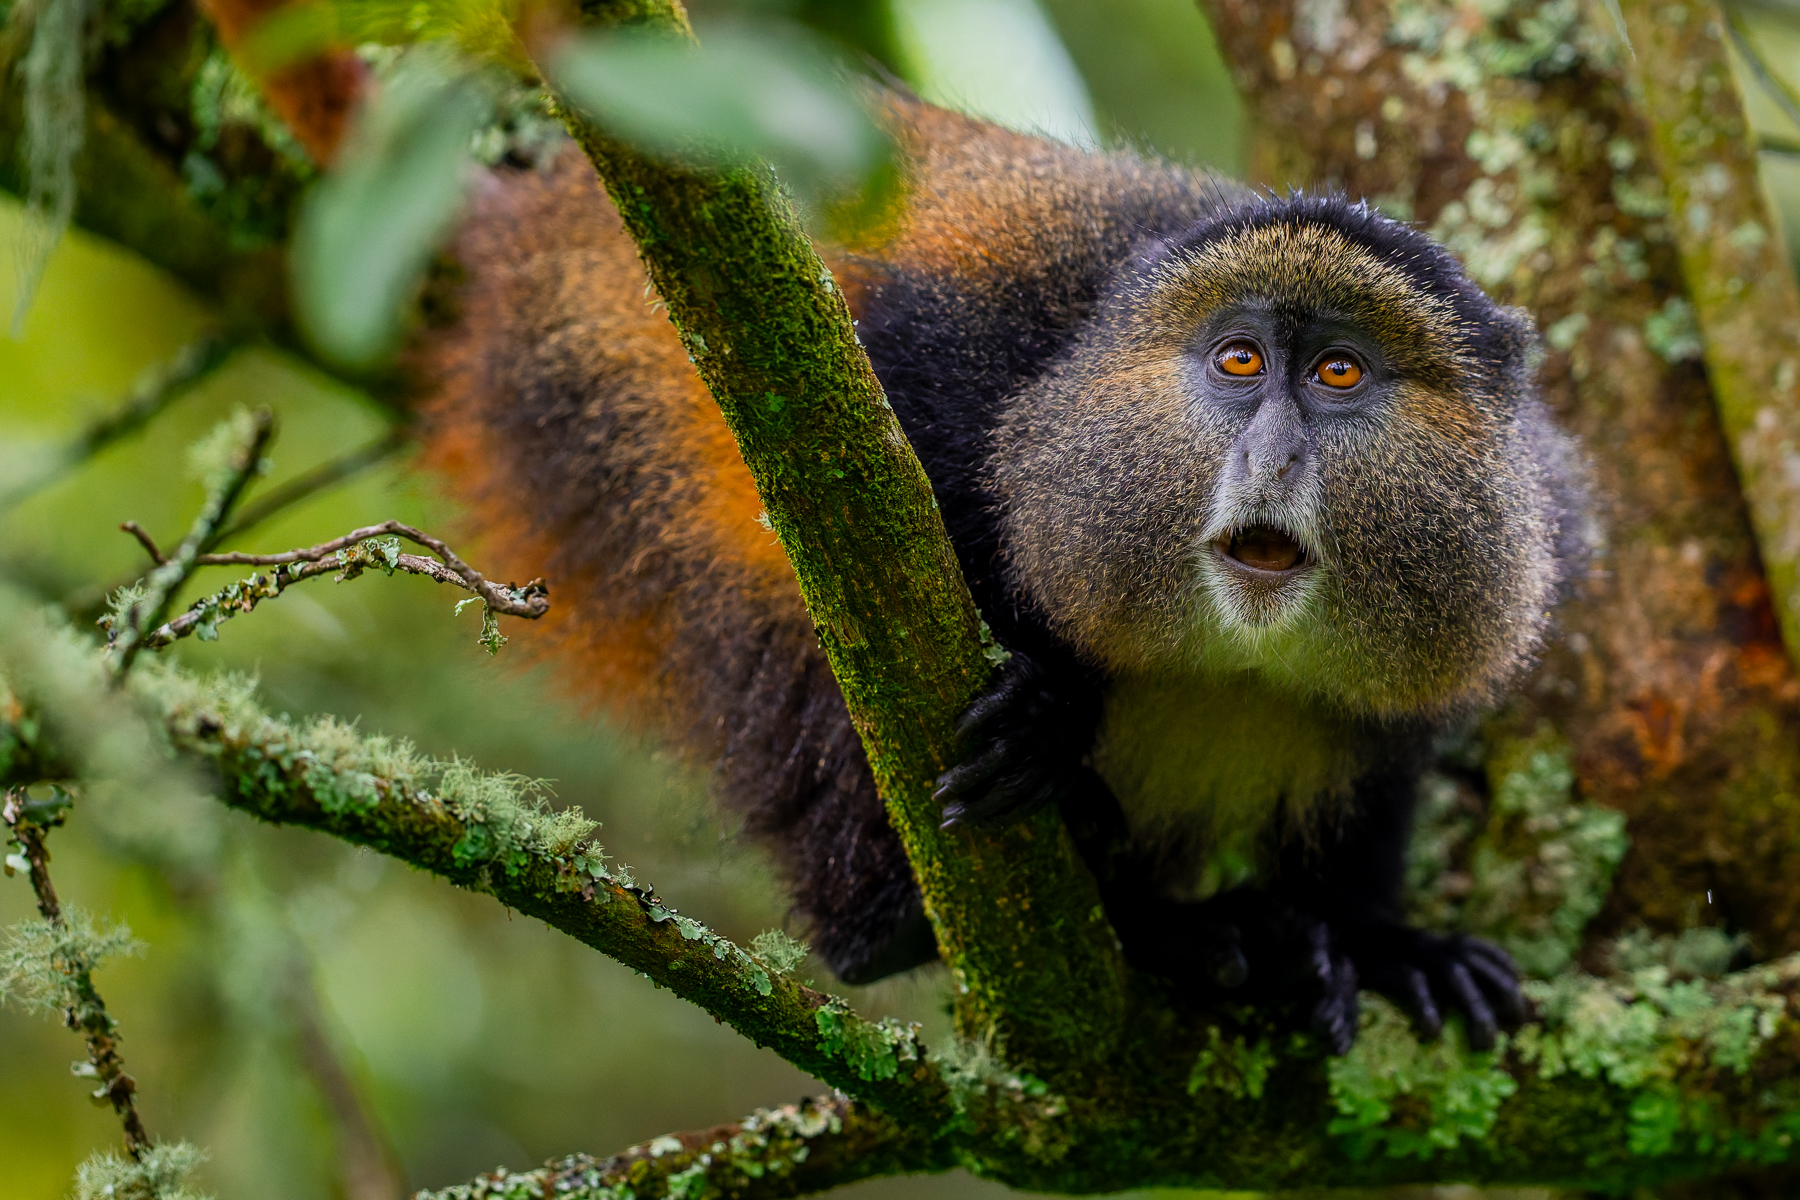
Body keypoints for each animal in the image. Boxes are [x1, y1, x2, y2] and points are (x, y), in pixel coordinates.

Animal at [421, 95, 1586, 1054]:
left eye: (1339, 371)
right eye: (1240, 361)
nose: (1273, 454)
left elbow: (1389, 759)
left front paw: (1385, 942)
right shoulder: (958, 354)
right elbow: (823, 471)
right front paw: (1045, 706)